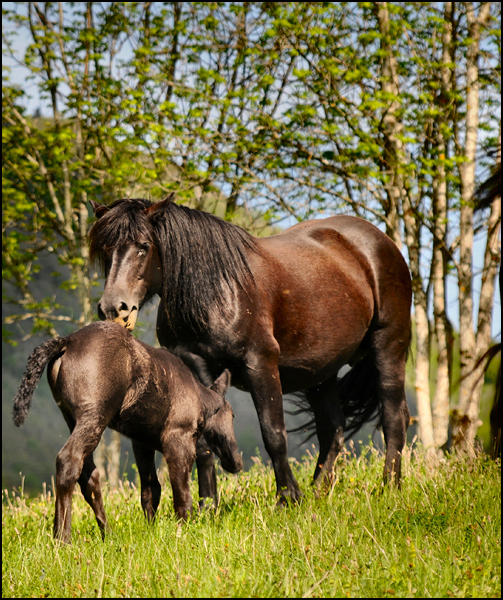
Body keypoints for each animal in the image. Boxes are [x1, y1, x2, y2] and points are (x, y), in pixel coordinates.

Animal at [11, 324, 240, 544]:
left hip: (72, 418)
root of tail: (66, 341)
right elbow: (181, 492)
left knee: (89, 475)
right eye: (232, 415)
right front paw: (184, 530)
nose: (236, 462)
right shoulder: (178, 438)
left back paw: (107, 535)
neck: (200, 398)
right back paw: (62, 539)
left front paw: (151, 530)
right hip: (94, 415)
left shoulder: (142, 442)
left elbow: (151, 490)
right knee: (68, 461)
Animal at [89, 196, 414, 502]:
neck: (216, 292)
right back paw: (319, 492)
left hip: (389, 346)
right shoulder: (198, 368)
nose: (114, 308)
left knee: (393, 418)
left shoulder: (260, 364)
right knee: (332, 430)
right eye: (105, 249)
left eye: (143, 246)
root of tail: (380, 242)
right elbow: (204, 441)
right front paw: (208, 506)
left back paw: (390, 487)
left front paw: (287, 498)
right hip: (322, 372)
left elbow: (274, 434)